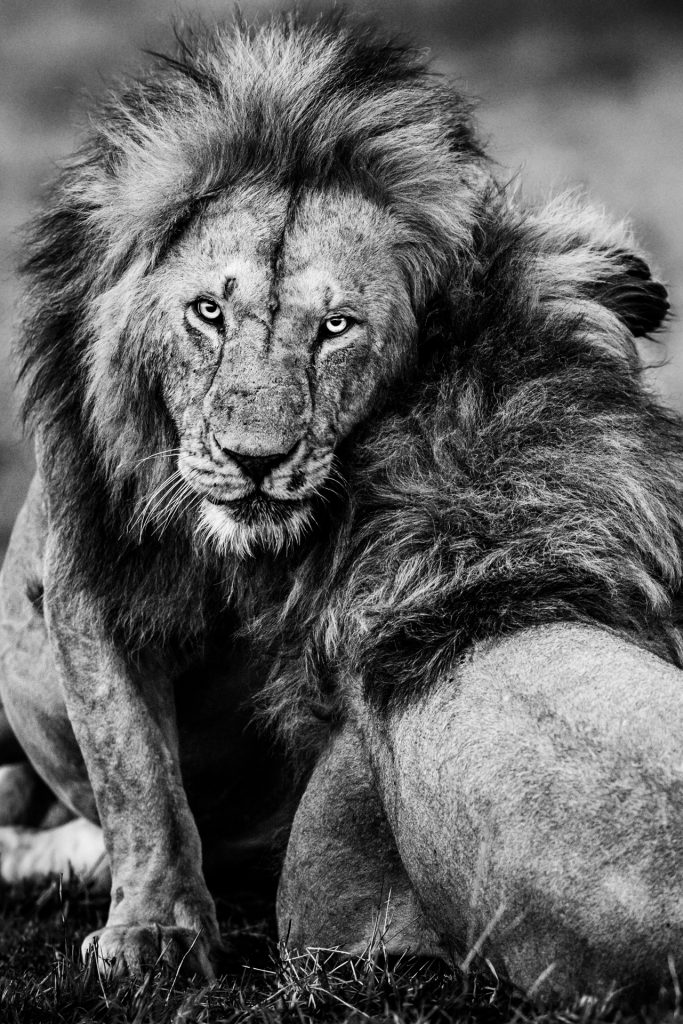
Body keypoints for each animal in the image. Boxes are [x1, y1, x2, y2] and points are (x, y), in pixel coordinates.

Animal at [1, 10, 683, 1003]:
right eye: (207, 312)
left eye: (336, 327)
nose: (255, 461)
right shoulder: (91, 577)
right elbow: (138, 777)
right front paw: (154, 930)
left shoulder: (333, 917)